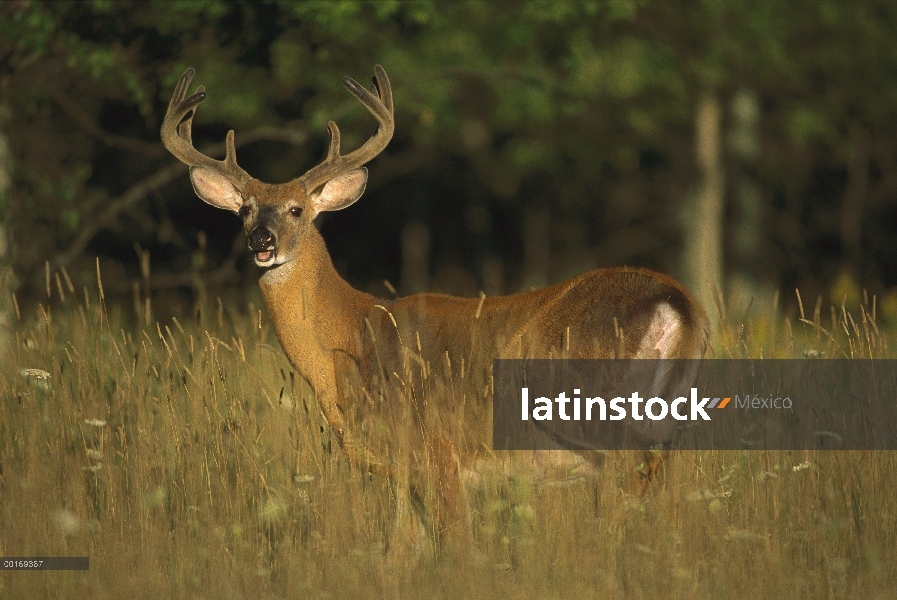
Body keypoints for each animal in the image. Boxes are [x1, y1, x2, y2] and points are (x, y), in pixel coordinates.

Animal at [161, 63, 708, 552]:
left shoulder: (435, 451)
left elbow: (455, 547)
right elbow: (401, 552)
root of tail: (677, 301)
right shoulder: (404, 472)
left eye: (297, 209)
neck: (351, 336)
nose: (262, 240)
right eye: (244, 209)